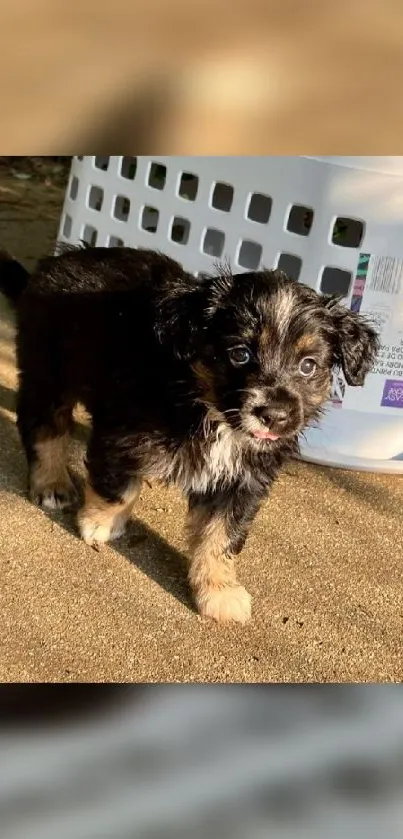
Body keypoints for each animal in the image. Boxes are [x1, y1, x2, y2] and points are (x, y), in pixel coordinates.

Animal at [0, 246, 380, 620]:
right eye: (240, 354)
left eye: (308, 365)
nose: (274, 415)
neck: (210, 411)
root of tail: (58, 259)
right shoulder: (121, 434)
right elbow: (118, 489)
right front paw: (100, 523)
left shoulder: (243, 480)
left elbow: (222, 535)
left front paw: (218, 591)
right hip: (48, 369)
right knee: (42, 423)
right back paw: (52, 483)